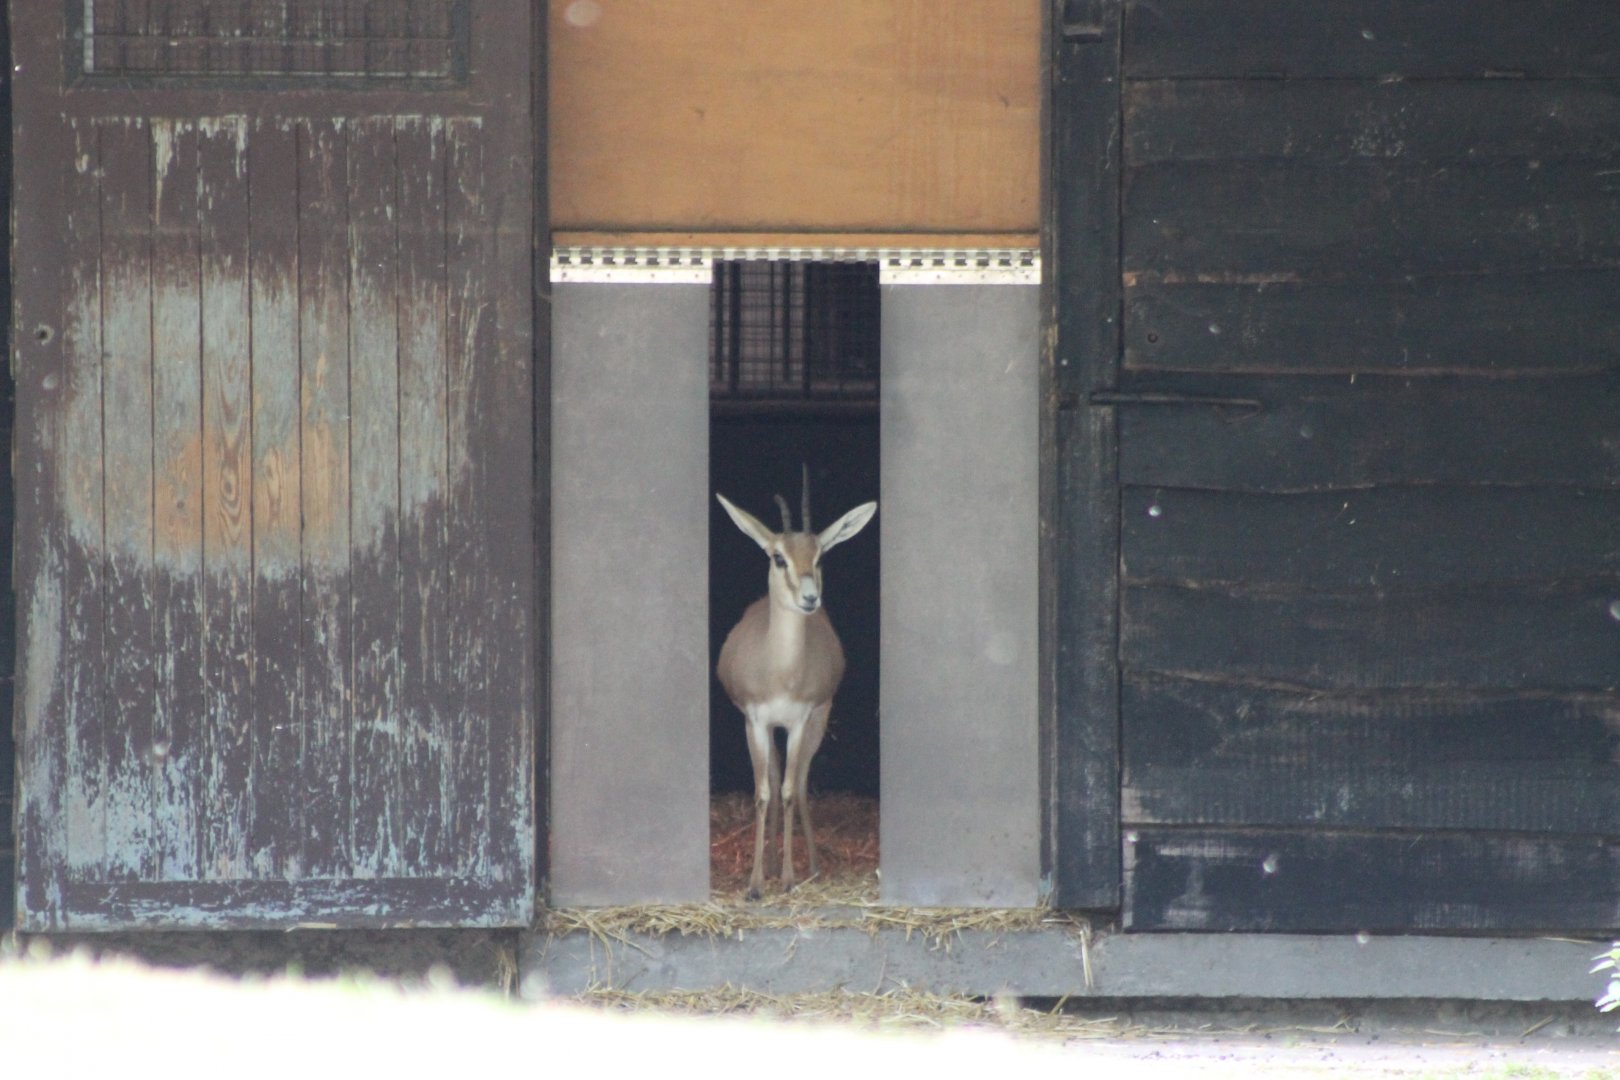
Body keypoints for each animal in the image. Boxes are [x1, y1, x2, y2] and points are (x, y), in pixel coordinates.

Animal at [716, 471, 877, 899]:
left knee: (800, 781)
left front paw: (788, 879)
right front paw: (756, 883)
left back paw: (812, 867)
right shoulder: (755, 721)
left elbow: (788, 790)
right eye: (778, 557)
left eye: (820, 556)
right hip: (770, 728)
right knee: (773, 779)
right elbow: (762, 793)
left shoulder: (800, 721)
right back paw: (771, 864)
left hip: (816, 721)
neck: (780, 673)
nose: (810, 598)